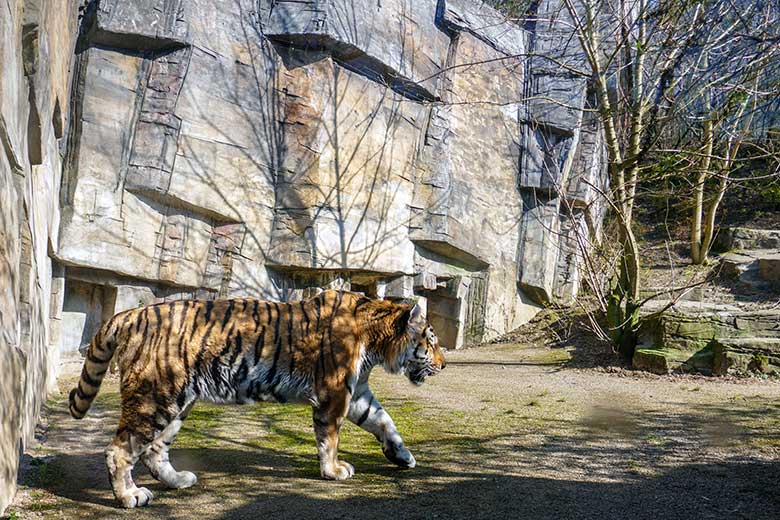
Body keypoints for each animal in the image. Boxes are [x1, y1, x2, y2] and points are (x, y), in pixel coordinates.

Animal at [68, 290, 444, 510]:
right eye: (431, 340)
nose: (443, 364)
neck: (377, 342)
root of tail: (129, 314)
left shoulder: (357, 393)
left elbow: (383, 420)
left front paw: (403, 456)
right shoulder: (335, 391)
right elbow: (330, 437)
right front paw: (334, 471)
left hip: (178, 404)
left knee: (154, 450)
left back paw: (179, 480)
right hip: (155, 396)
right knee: (120, 450)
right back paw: (130, 496)